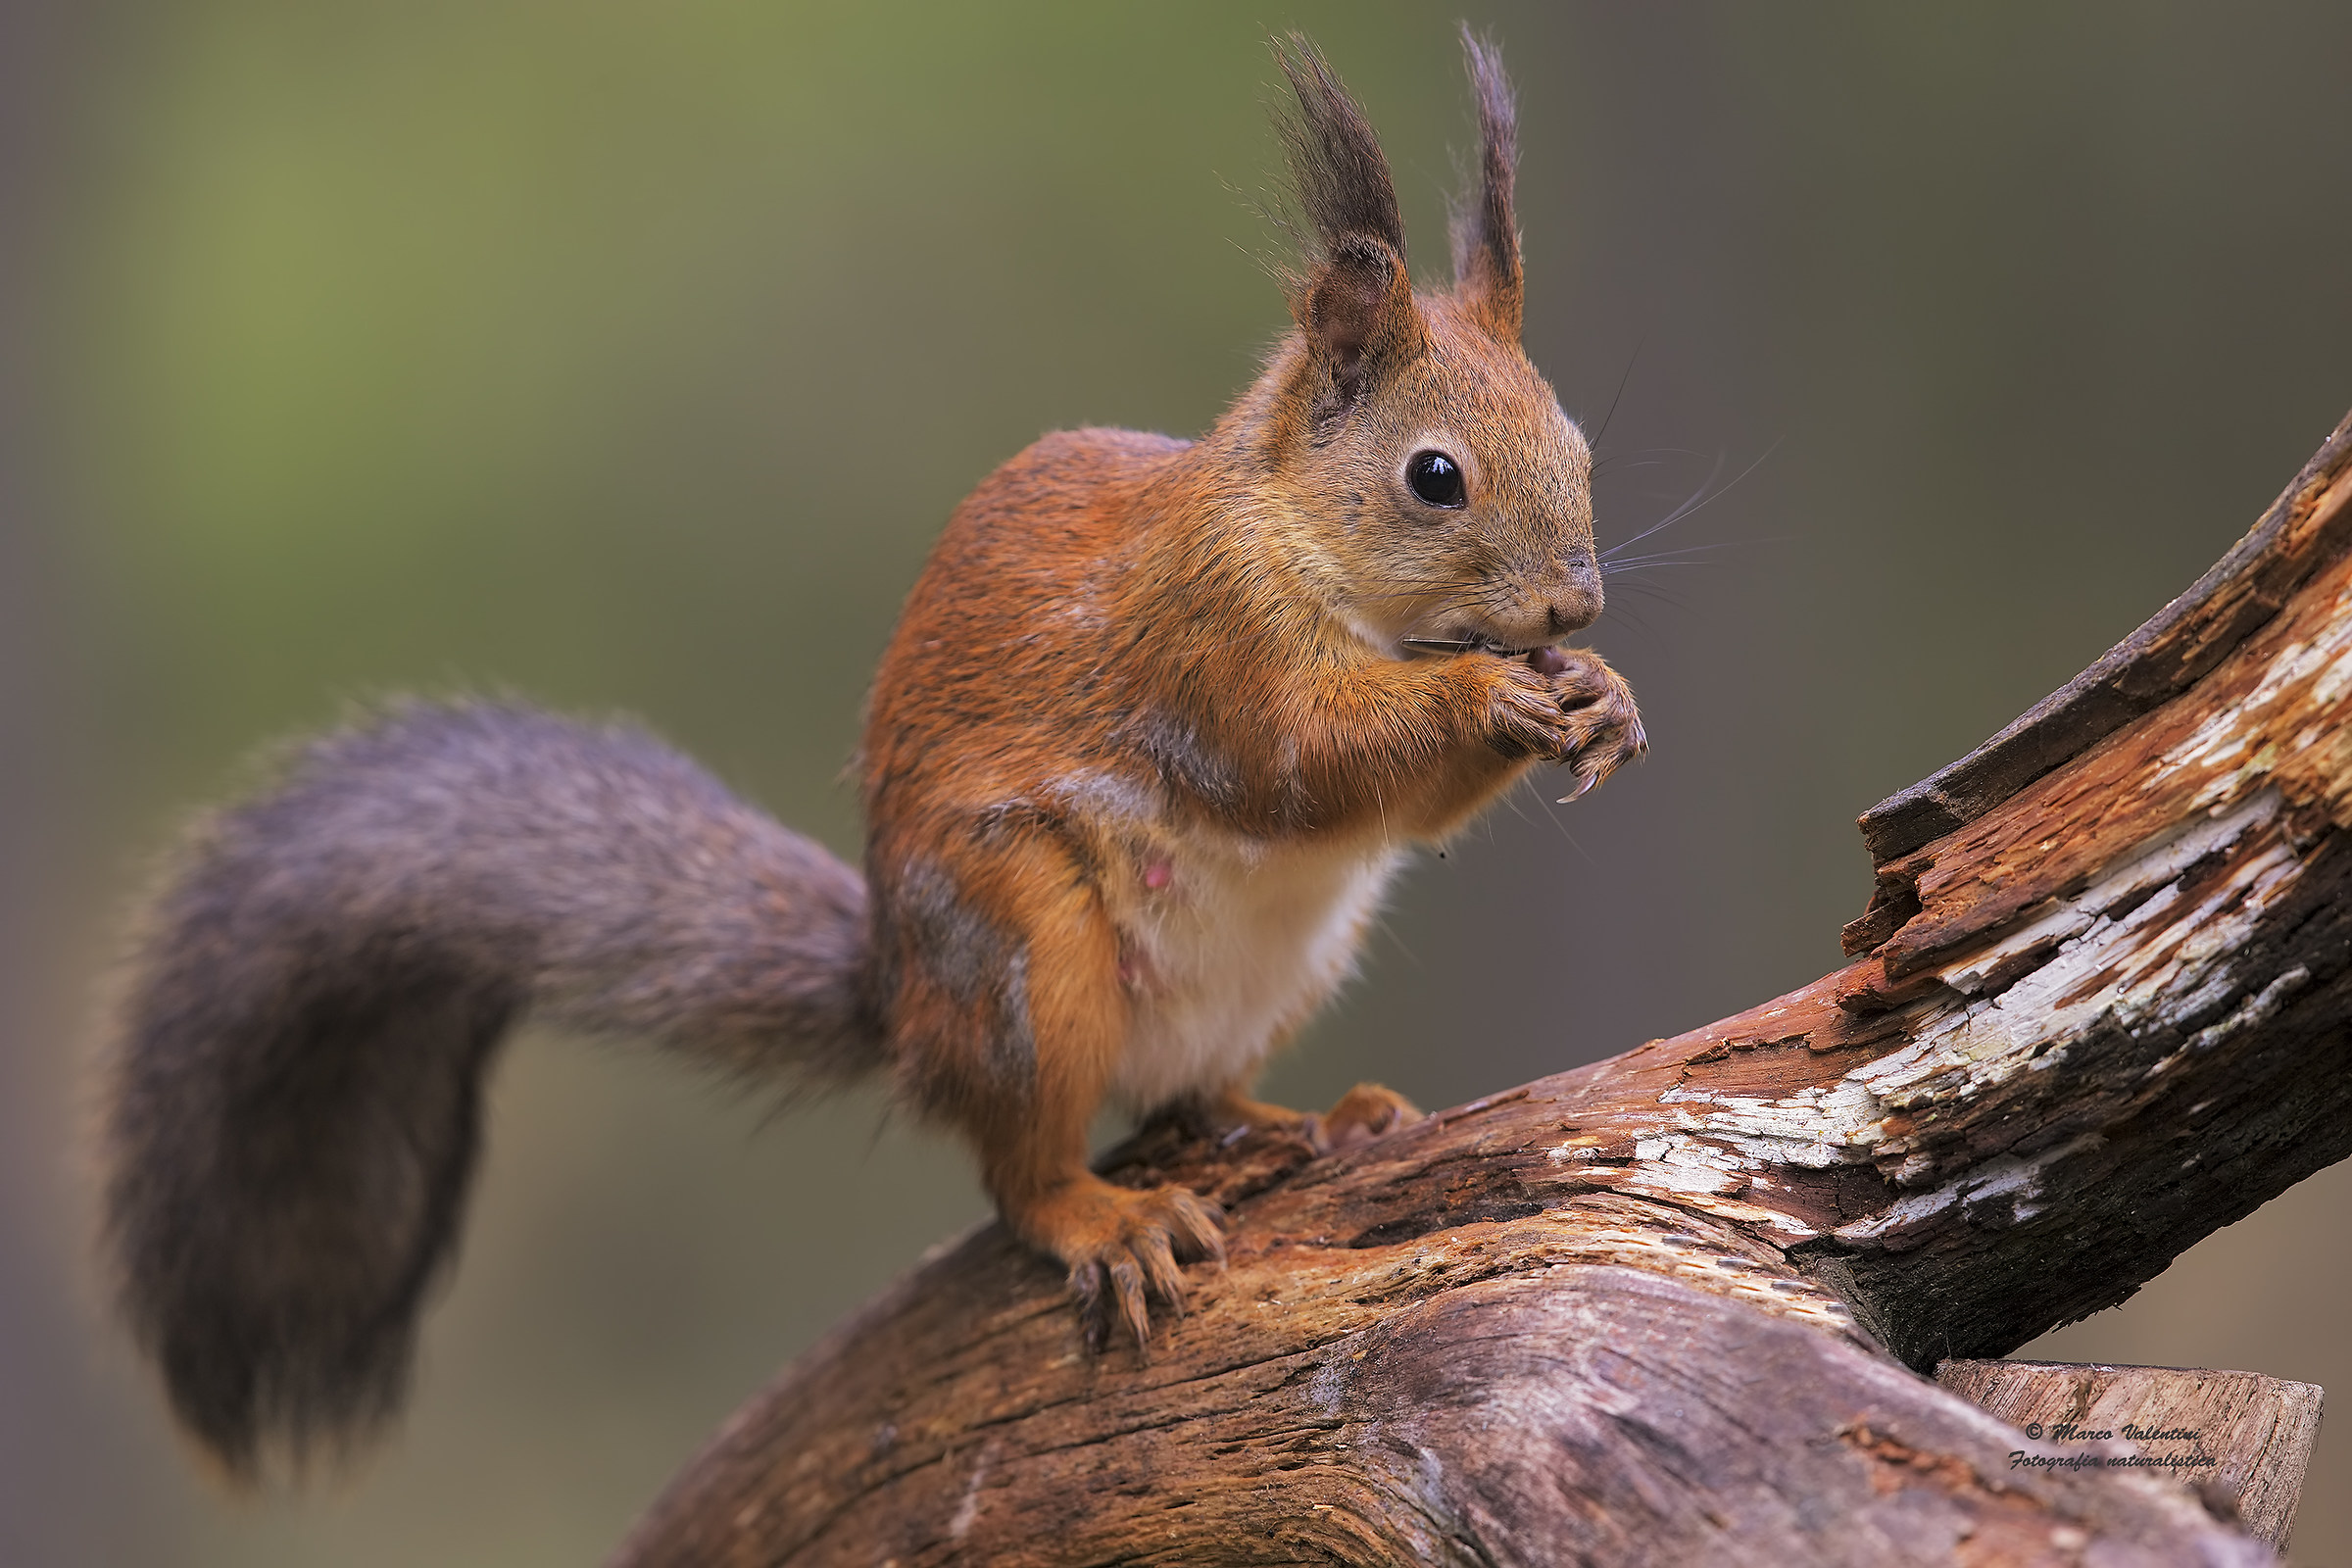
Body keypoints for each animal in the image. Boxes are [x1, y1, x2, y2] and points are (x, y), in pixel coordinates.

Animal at [100, 32, 1644, 1476]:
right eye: (1433, 476)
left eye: (1578, 442)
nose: (1575, 606)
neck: (1312, 551)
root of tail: (900, 1000)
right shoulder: (1204, 645)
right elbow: (1300, 760)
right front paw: (1498, 699)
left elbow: (1402, 809)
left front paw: (1601, 698)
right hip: (1022, 953)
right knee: (1022, 1167)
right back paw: (1106, 1213)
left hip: (1282, 966)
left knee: (1195, 1093)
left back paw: (1316, 1119)